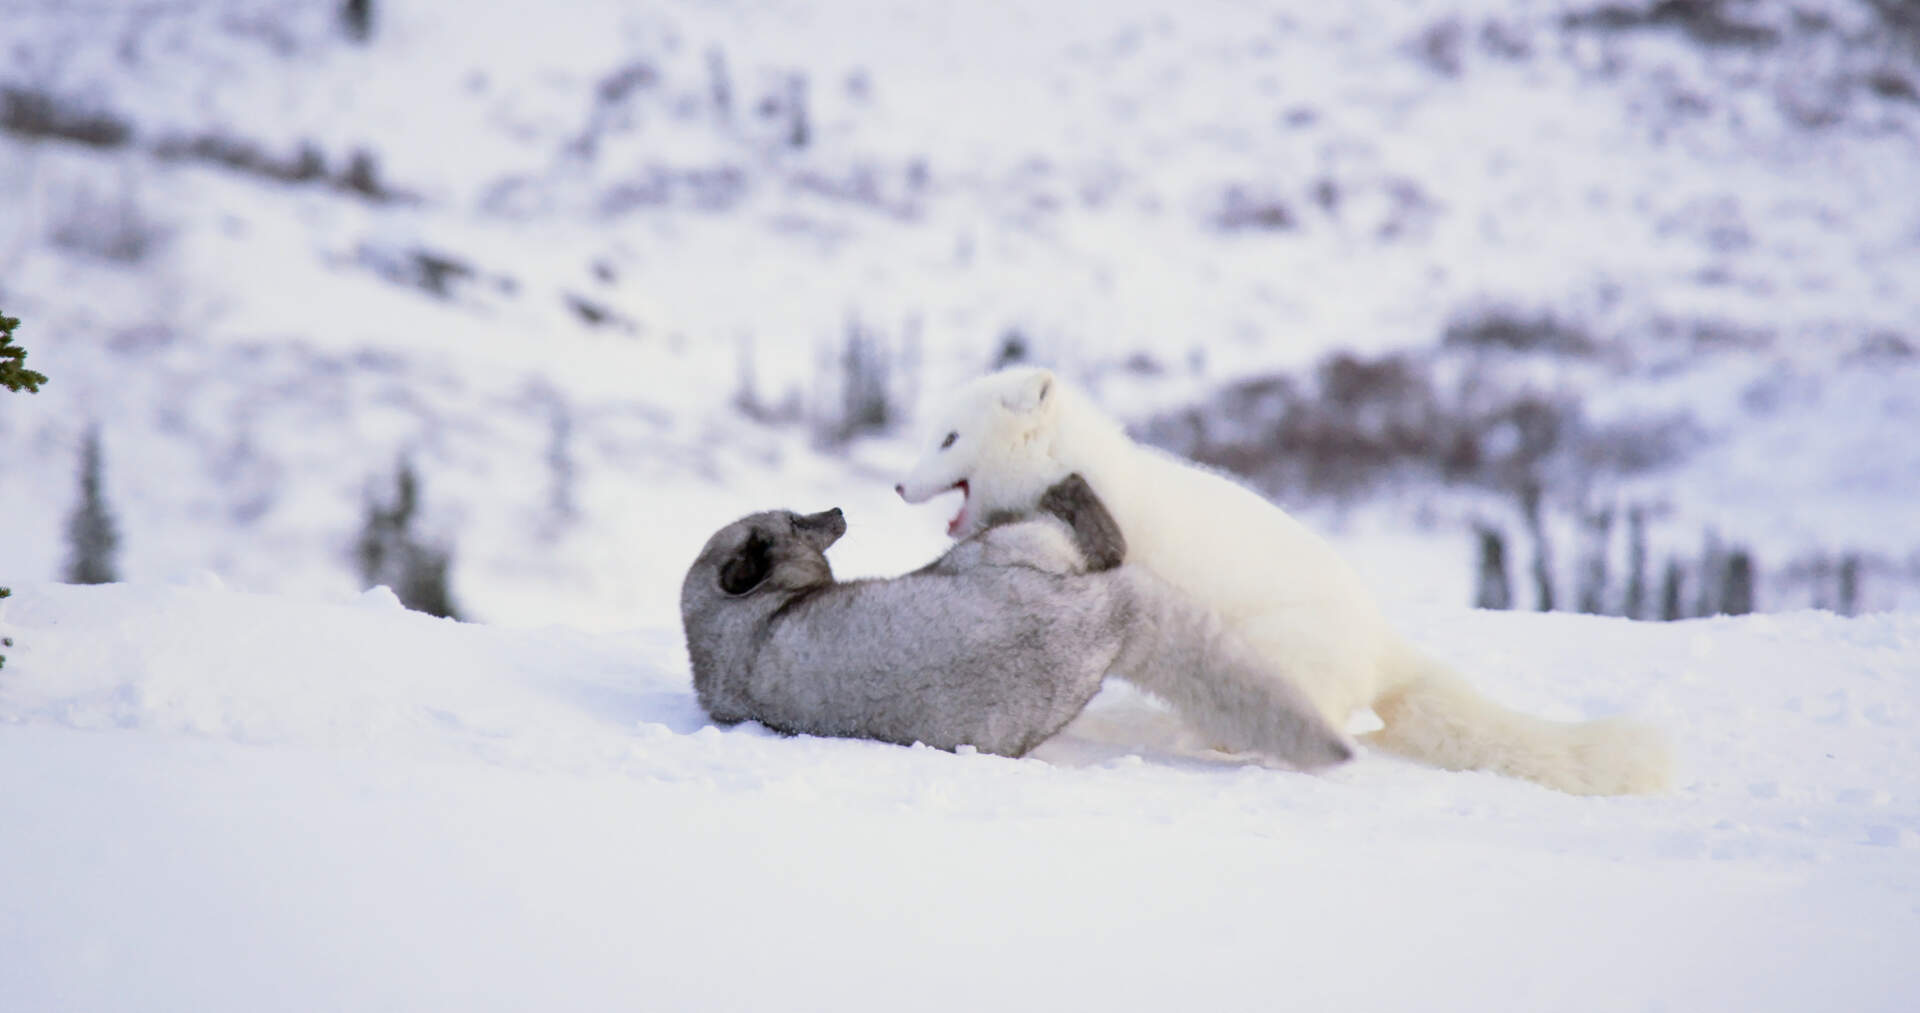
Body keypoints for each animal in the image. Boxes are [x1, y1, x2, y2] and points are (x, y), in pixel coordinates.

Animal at [683, 475, 1359, 767]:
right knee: (1105, 539)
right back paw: (1066, 483)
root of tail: (1107, 617)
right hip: (1002, 552)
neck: (736, 636)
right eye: (796, 522)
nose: (839, 511)